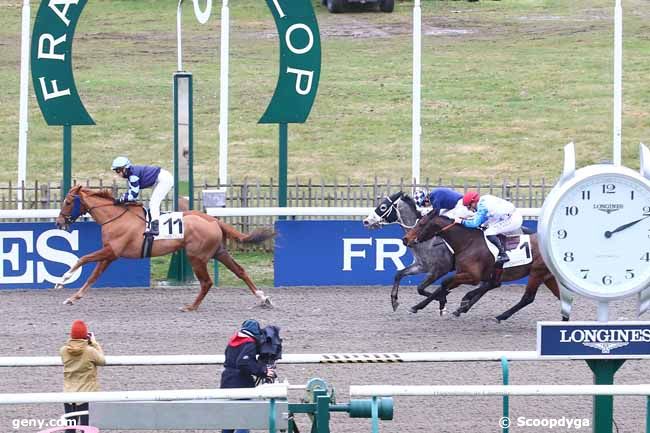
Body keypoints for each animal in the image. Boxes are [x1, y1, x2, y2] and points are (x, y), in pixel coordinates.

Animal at [55, 185, 274, 310]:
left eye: (68, 201)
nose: (59, 222)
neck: (116, 217)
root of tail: (213, 219)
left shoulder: (112, 251)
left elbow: (82, 259)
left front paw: (63, 280)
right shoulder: (109, 255)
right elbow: (93, 276)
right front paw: (73, 297)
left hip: (196, 257)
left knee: (207, 282)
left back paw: (191, 307)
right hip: (219, 252)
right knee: (240, 271)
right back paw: (262, 298)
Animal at [402, 213, 564, 320]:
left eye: (421, 224)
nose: (406, 239)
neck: (468, 242)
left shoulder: (472, 276)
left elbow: (444, 283)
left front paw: (452, 303)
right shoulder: (462, 274)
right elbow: (444, 286)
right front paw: (421, 306)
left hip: (537, 272)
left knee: (527, 298)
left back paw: (500, 316)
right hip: (547, 276)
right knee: (559, 296)